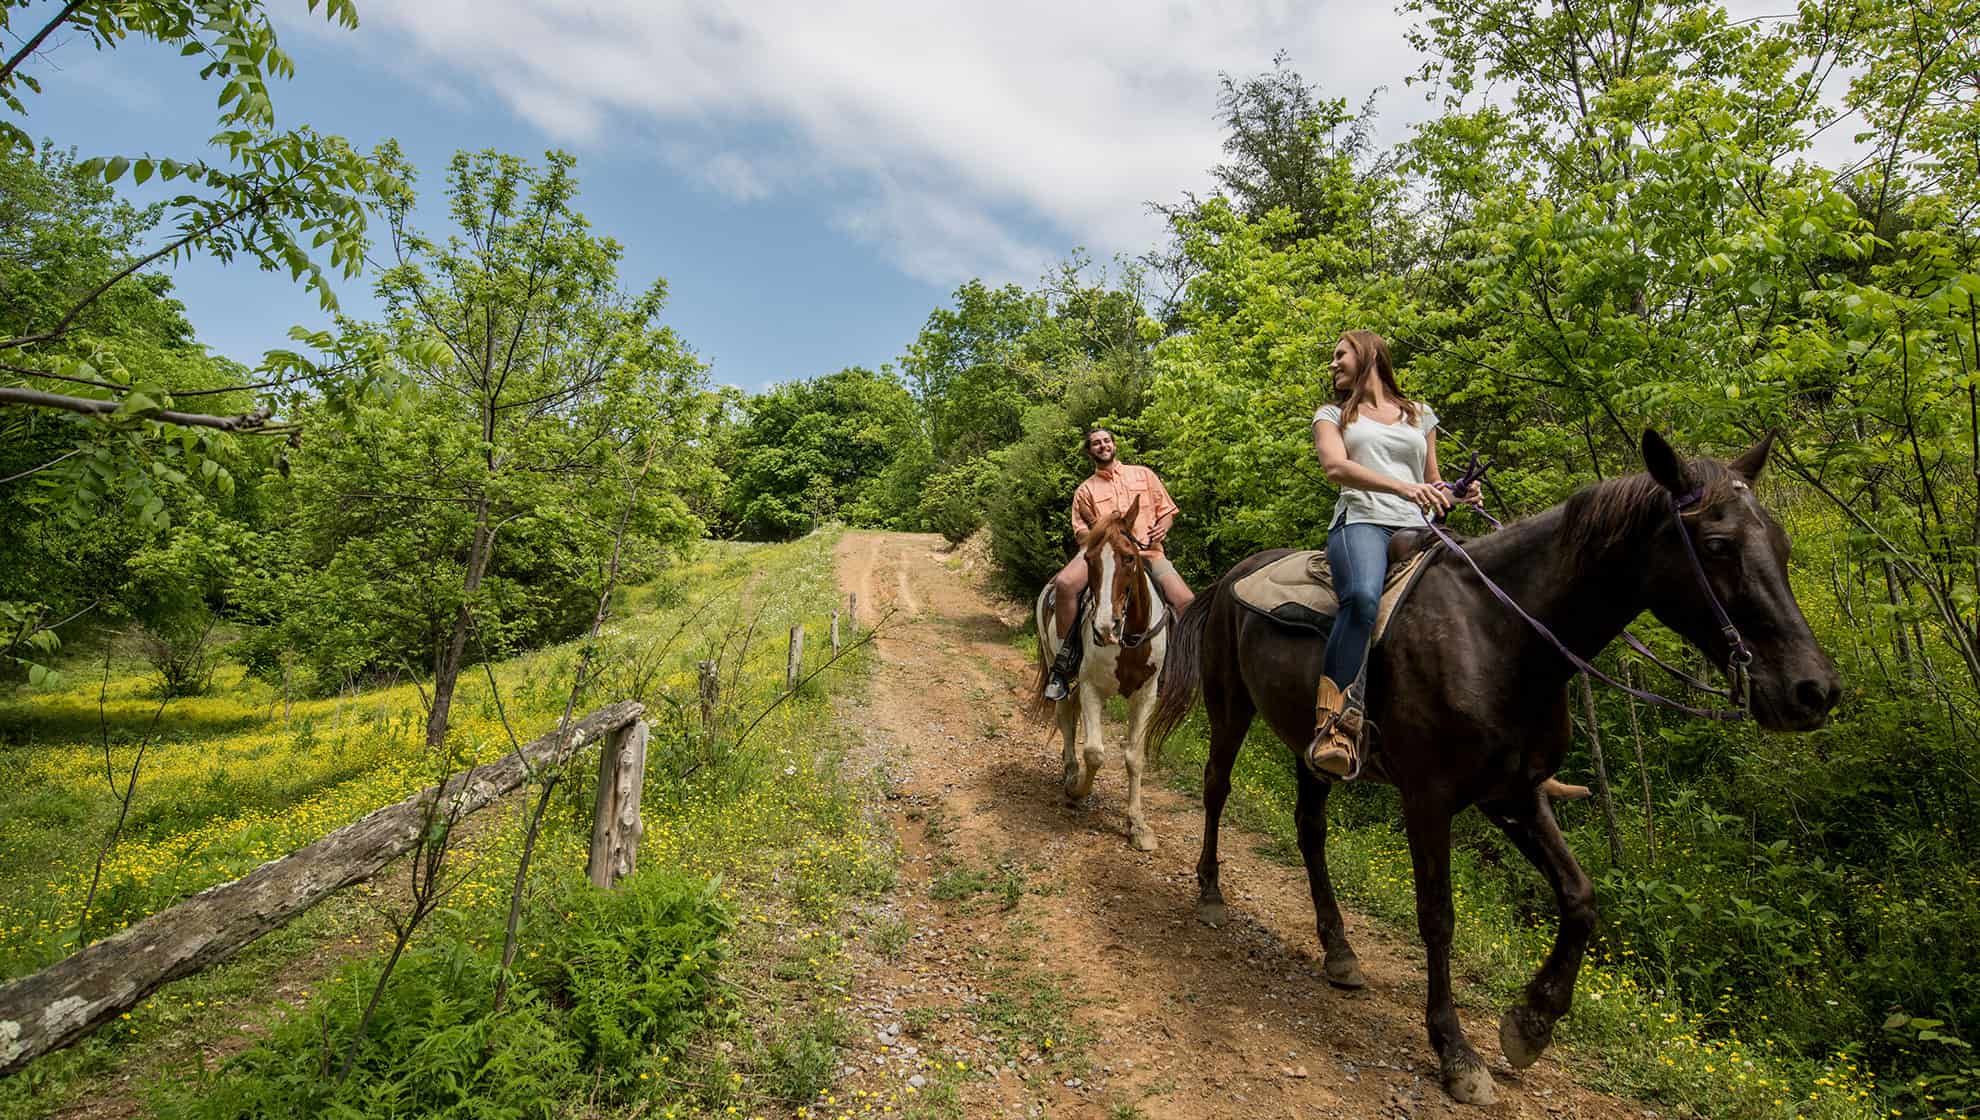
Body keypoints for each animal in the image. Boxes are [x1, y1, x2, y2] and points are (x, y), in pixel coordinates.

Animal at [1029, 500, 1164, 850]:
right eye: (1089, 559)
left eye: (1129, 557)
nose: (1105, 628)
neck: (1129, 640)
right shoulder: (1093, 688)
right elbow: (1094, 753)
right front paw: (1077, 789)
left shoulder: (1146, 694)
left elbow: (1134, 757)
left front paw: (1137, 826)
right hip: (1056, 666)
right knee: (1065, 714)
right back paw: (1069, 770)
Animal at [1148, 435, 1837, 1108]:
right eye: (1717, 545)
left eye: (1781, 543)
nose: (1815, 691)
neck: (1501, 637)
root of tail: (1236, 574)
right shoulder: (1428, 799)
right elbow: (1438, 915)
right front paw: (1456, 1053)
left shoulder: (1515, 794)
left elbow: (1580, 897)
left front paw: (1531, 1024)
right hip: (1230, 708)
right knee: (1216, 789)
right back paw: (1210, 895)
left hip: (1309, 747)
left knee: (1309, 831)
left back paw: (1339, 952)